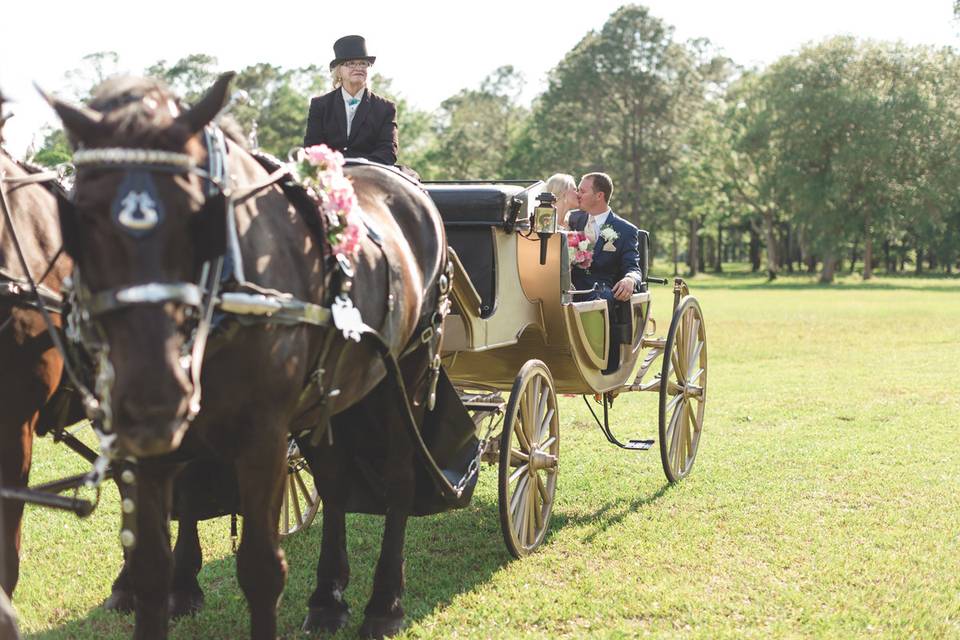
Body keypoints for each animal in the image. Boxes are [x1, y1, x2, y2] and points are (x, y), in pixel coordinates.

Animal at [48, 72, 446, 636]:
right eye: (79, 218)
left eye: (203, 215)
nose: (152, 396)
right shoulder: (144, 449)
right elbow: (151, 569)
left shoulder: (262, 437)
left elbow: (261, 568)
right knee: (334, 477)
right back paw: (328, 597)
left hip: (404, 377)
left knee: (398, 479)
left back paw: (384, 603)